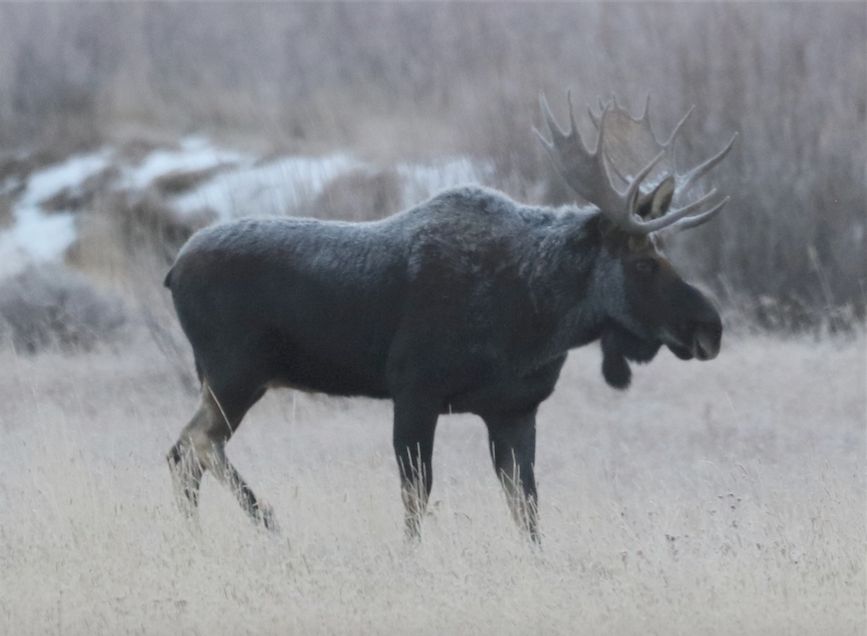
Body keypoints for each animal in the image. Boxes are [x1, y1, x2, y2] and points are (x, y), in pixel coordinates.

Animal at [164, 92, 736, 542]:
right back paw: (267, 522)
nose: (711, 327)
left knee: (185, 452)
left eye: (666, 253)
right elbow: (416, 497)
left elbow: (527, 509)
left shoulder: (514, 408)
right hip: (235, 372)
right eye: (644, 263)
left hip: (230, 378)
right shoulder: (414, 389)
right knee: (195, 445)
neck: (537, 319)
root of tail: (171, 271)